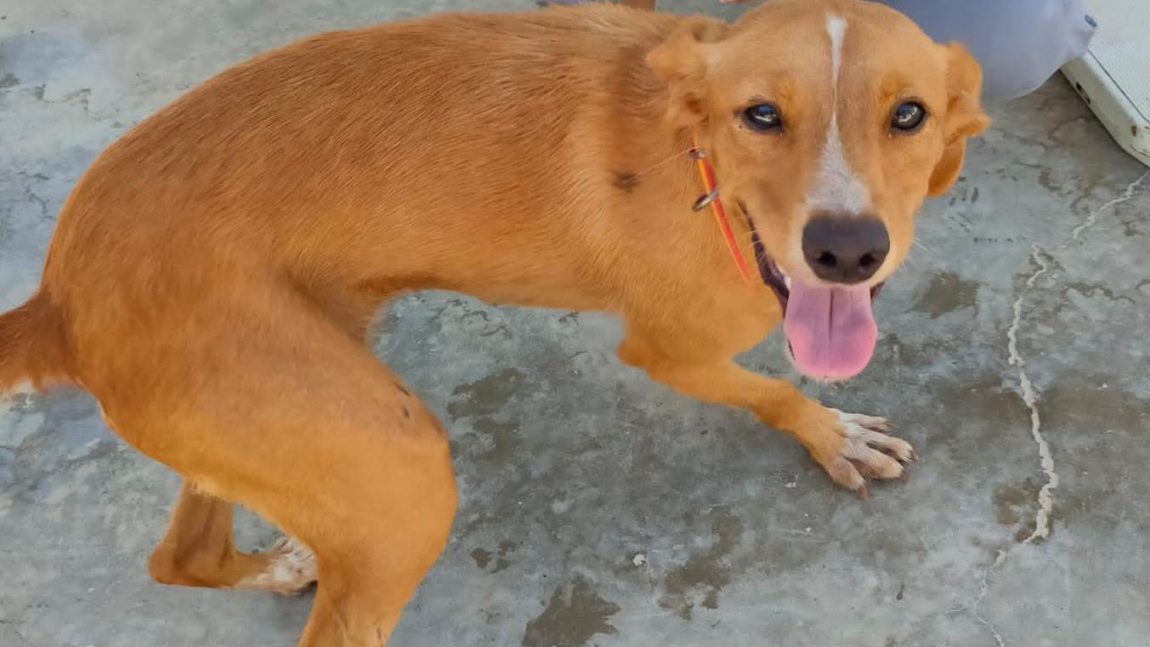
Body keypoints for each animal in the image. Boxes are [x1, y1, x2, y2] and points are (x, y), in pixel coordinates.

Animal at [0, 1, 988, 643]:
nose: (849, 252)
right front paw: (829, 432)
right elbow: (774, 391)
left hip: (280, 420)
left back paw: (282, 562)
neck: (692, 158)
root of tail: (57, 299)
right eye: (761, 114)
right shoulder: (672, 351)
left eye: (909, 114)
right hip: (401, 471)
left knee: (182, 554)